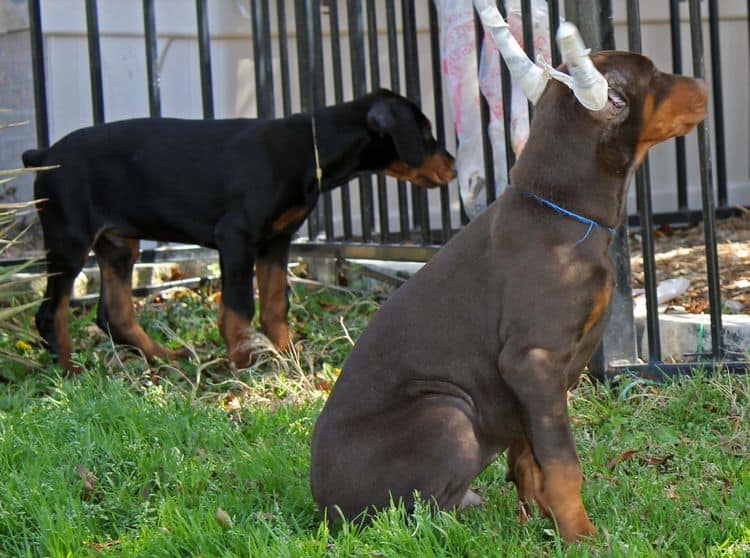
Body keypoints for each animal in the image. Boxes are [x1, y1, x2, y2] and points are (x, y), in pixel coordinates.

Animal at [23, 89, 456, 374]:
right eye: (425, 131)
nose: (452, 165)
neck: (310, 146)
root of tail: (43, 154)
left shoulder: (276, 240)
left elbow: (276, 303)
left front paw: (287, 355)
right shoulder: (237, 236)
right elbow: (238, 307)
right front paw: (243, 362)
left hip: (118, 243)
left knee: (114, 313)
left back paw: (166, 358)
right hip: (69, 240)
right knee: (50, 312)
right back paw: (69, 372)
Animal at [308, 51, 708, 544]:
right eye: (655, 76)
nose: (704, 83)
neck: (561, 212)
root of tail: (326, 512)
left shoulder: (531, 386)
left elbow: (529, 457)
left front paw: (541, 520)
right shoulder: (531, 361)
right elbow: (563, 463)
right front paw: (581, 536)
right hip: (448, 415)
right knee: (413, 517)